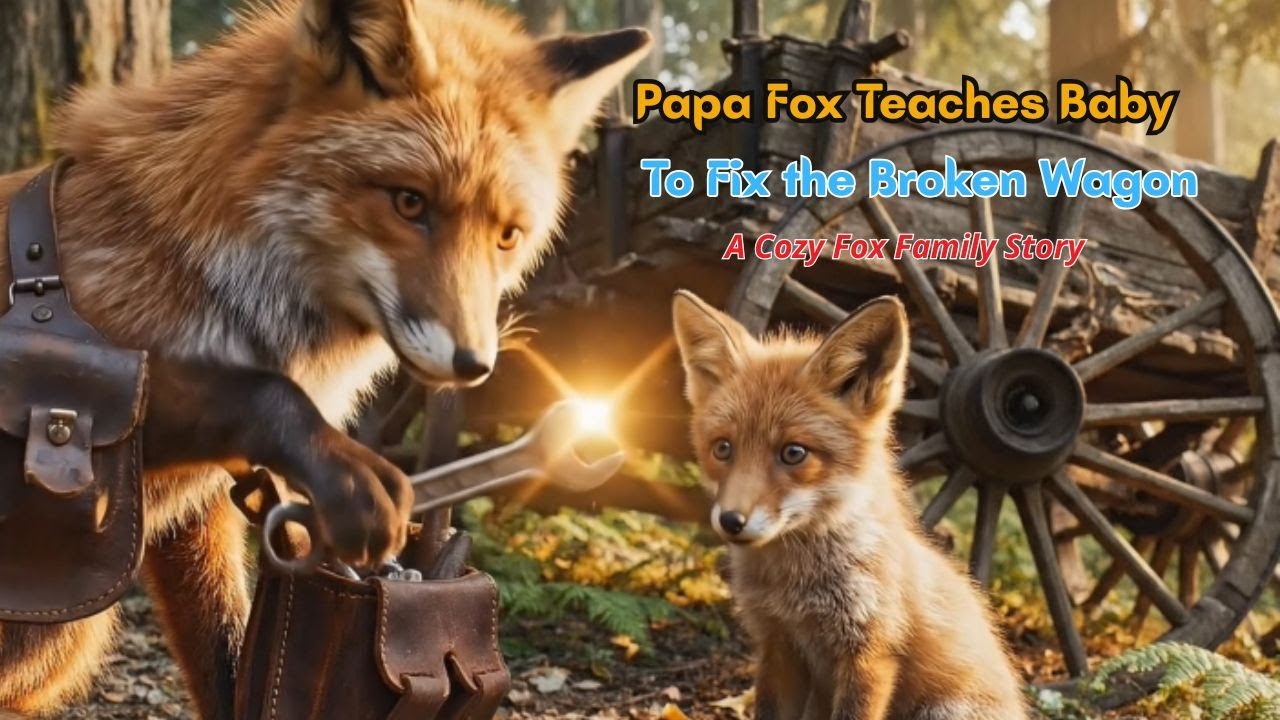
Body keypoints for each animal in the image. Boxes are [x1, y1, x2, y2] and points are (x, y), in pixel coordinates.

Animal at [0, 0, 651, 717]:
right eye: (409, 202)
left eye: (507, 236)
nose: (473, 364)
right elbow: (257, 393)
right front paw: (343, 471)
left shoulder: (193, 517)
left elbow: (225, 656)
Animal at [671, 291, 1026, 720]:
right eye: (723, 449)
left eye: (793, 453)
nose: (730, 520)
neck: (797, 586)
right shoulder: (778, 645)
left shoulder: (870, 654)